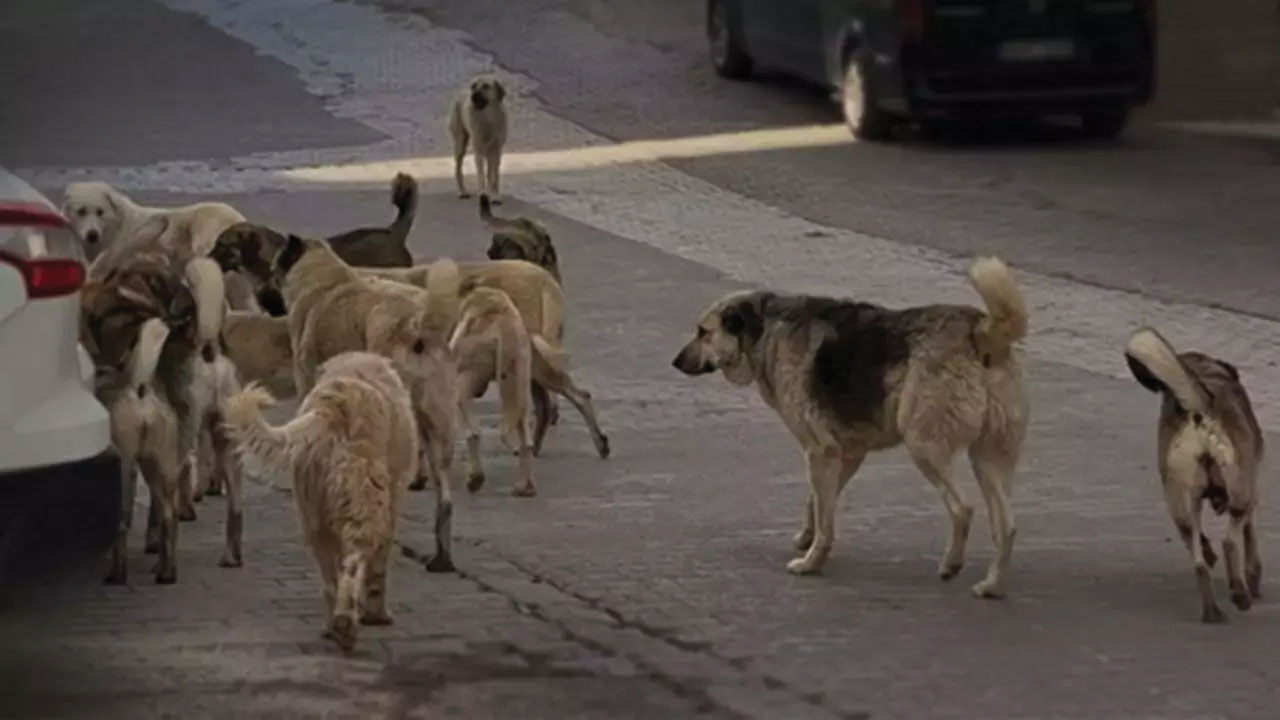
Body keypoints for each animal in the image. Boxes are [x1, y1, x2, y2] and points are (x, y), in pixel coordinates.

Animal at [222, 348, 417, 650]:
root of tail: (331, 410)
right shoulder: (392, 505)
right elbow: (377, 569)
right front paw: (378, 615)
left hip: (312, 515)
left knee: (330, 578)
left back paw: (332, 627)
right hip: (365, 502)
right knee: (353, 563)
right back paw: (346, 623)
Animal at [450, 74, 509, 202]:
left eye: (486, 86)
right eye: (473, 86)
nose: (473, 96)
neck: (489, 118)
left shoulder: (496, 149)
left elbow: (493, 175)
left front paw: (495, 195)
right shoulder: (478, 149)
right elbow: (481, 174)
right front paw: (482, 193)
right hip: (460, 144)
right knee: (458, 169)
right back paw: (463, 191)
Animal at [670, 256, 1029, 594]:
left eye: (703, 333)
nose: (675, 362)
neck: (766, 331)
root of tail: (980, 331)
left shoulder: (820, 451)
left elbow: (825, 517)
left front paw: (811, 562)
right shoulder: (846, 453)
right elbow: (818, 504)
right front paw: (807, 538)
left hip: (924, 447)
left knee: (962, 508)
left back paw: (951, 564)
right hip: (988, 459)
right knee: (1007, 525)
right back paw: (991, 586)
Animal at [1126, 326, 1264, 622]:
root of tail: (1200, 411)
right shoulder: (1251, 490)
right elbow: (1250, 538)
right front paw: (1253, 578)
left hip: (1181, 504)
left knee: (1199, 562)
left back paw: (1212, 610)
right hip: (1240, 492)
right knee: (1230, 542)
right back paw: (1240, 594)